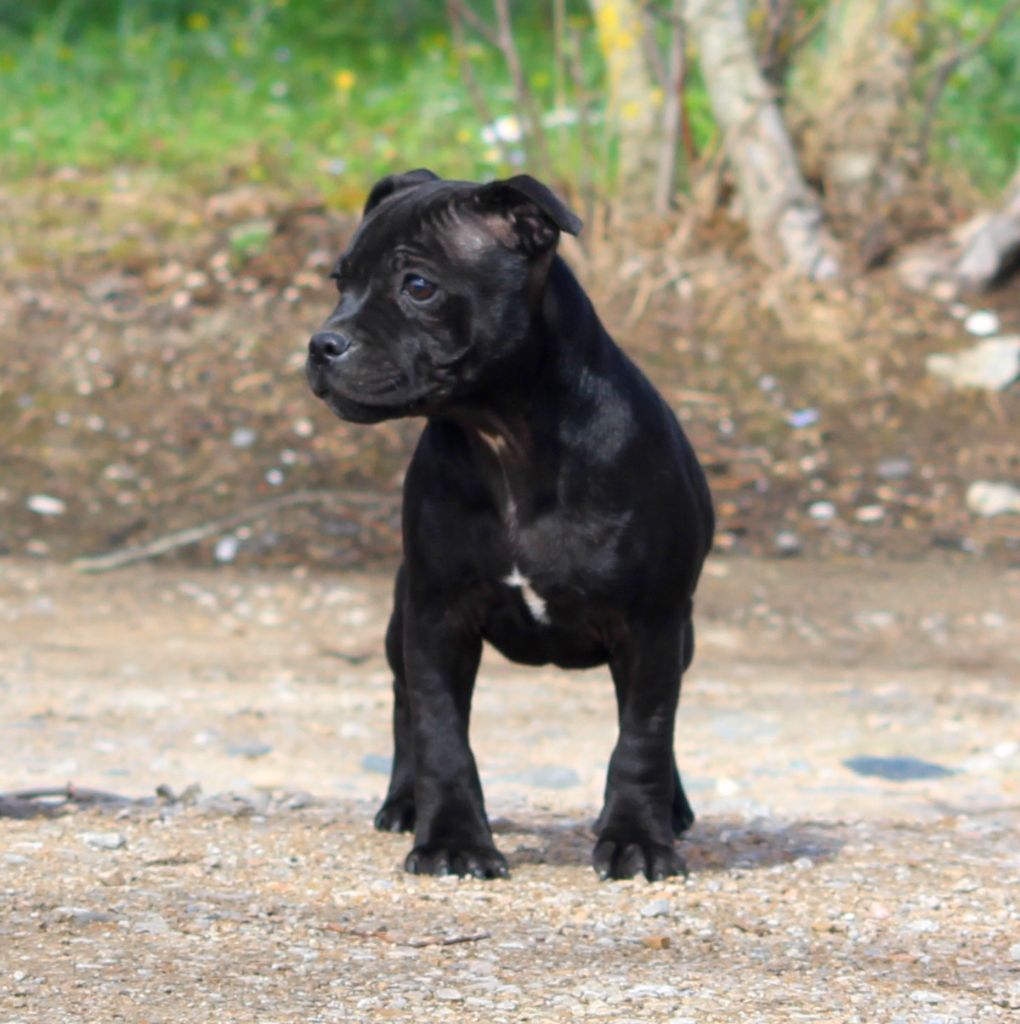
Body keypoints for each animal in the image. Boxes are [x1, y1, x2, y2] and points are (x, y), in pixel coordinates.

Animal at [307, 167, 712, 880]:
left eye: (419, 286)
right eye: (340, 283)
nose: (322, 344)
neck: (505, 438)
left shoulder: (653, 625)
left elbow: (643, 735)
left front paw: (638, 837)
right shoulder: (436, 617)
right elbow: (440, 732)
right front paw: (452, 841)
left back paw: (673, 809)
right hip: (398, 620)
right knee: (403, 704)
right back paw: (405, 802)